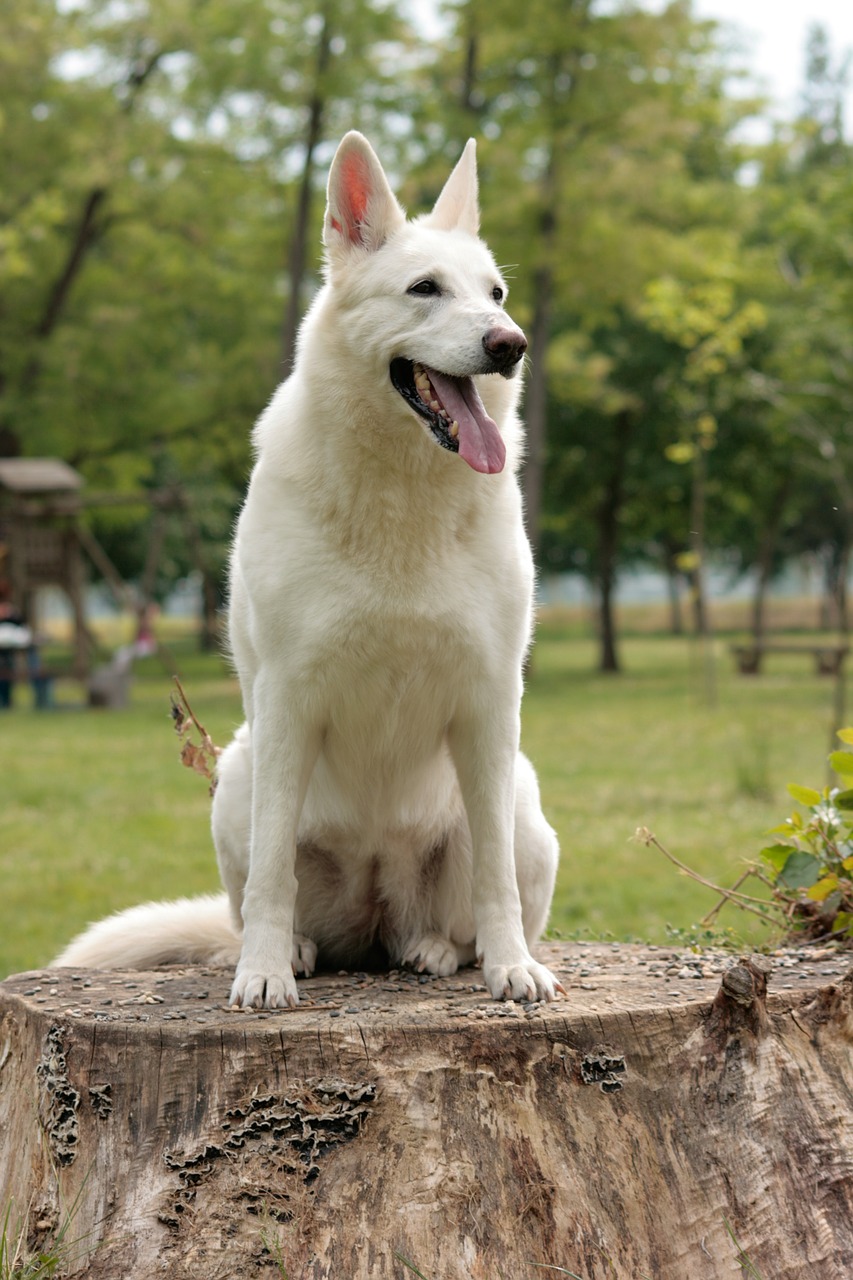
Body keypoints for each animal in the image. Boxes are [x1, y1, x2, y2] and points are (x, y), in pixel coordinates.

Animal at [54, 132, 558, 1008]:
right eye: (424, 290)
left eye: (494, 293)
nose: (509, 344)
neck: (400, 498)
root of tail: (376, 919)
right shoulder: (289, 699)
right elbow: (270, 880)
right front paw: (260, 975)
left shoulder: (491, 703)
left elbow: (494, 881)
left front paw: (512, 969)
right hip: (238, 778)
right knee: (268, 897)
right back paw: (288, 950)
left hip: (520, 797)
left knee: (464, 909)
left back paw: (438, 950)